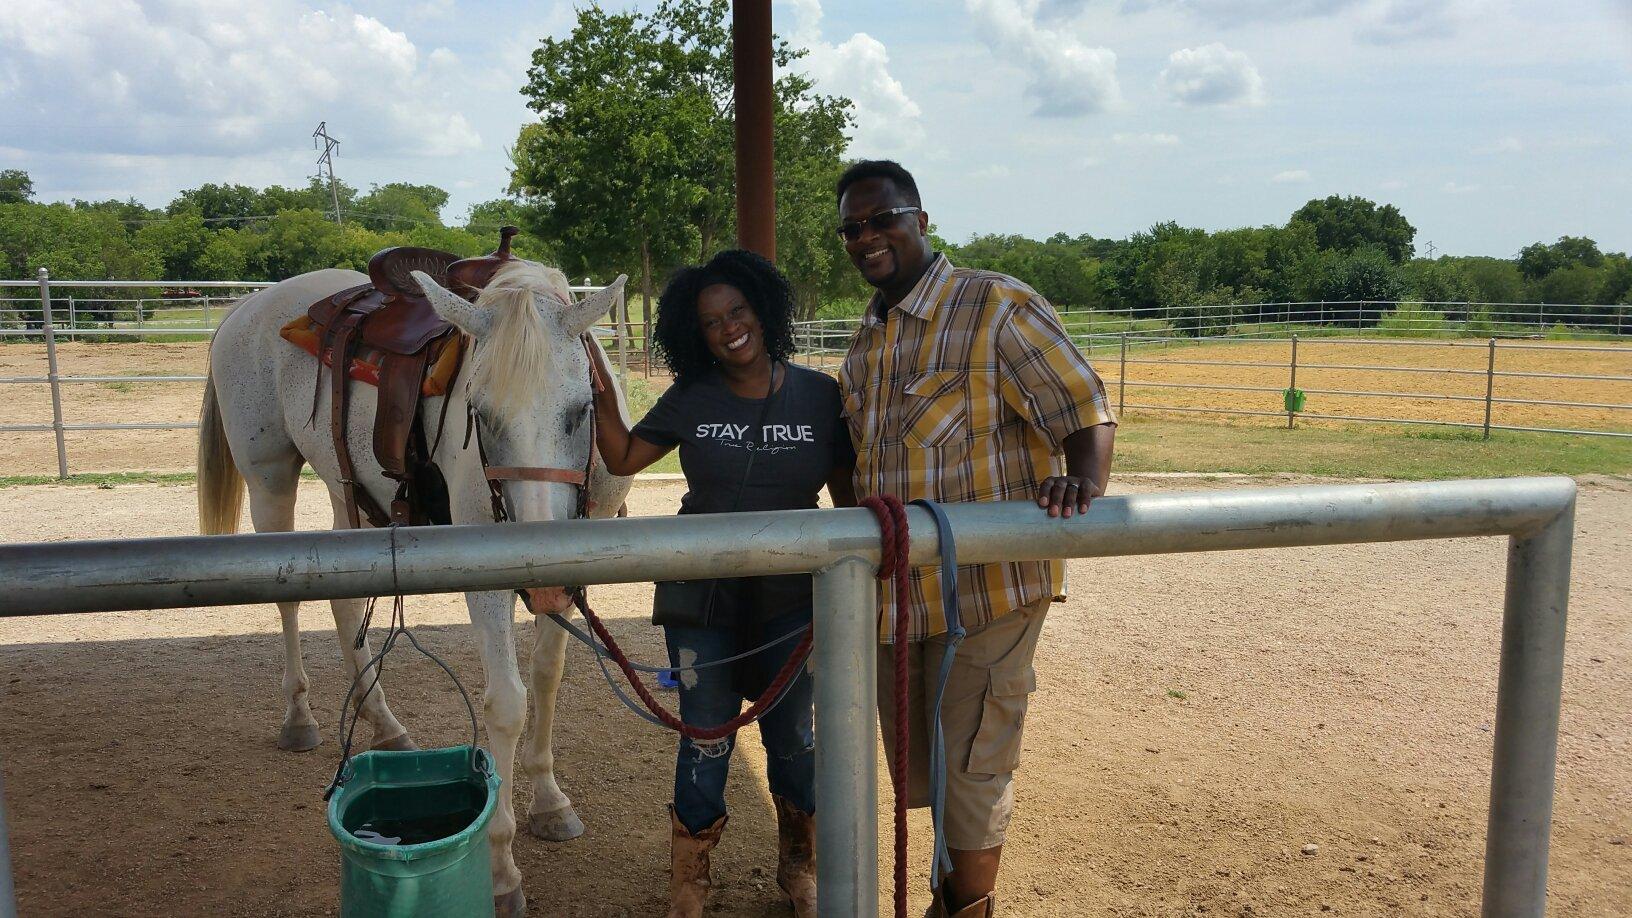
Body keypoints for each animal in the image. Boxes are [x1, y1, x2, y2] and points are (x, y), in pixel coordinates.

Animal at [197, 254, 629, 908]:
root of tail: (244, 308)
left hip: (345, 492)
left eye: (580, 409)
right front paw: (501, 868)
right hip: (270, 478)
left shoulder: (576, 571)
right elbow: (507, 701)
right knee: (289, 600)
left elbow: (548, 678)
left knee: (344, 604)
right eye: (480, 413)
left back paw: (384, 722)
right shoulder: (487, 579)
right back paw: (298, 718)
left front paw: (550, 803)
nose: (537, 566)